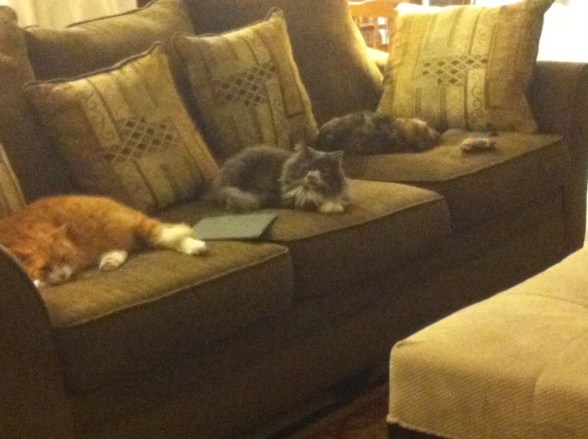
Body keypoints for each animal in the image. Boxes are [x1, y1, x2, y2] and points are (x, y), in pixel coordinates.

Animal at [0, 195, 207, 287]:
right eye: (45, 267)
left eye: (63, 258)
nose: (63, 276)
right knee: (121, 249)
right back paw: (110, 262)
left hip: (129, 226)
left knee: (165, 233)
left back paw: (195, 246)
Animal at [209, 143, 349, 214]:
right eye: (307, 167)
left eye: (323, 170)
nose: (312, 176)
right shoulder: (286, 198)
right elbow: (312, 201)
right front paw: (333, 207)